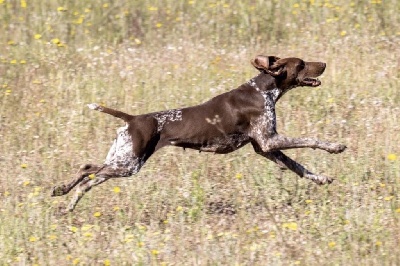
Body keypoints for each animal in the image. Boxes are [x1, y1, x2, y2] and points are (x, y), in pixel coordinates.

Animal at [51, 55, 346, 213]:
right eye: (302, 63)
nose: (324, 63)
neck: (263, 88)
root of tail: (132, 119)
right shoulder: (269, 140)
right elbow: (310, 140)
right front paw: (334, 146)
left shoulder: (264, 147)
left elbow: (299, 167)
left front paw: (321, 178)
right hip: (128, 164)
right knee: (89, 175)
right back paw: (66, 196)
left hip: (122, 158)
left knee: (87, 171)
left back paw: (64, 196)